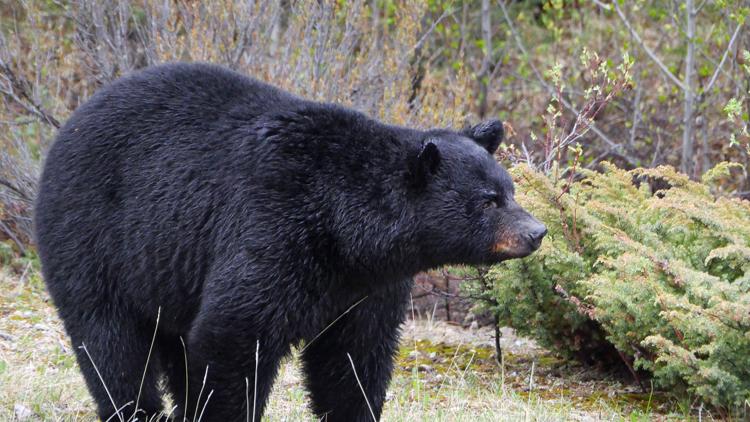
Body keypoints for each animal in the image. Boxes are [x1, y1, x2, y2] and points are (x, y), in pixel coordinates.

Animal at [33, 63, 548, 422]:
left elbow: (354, 358)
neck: (346, 229)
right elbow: (234, 336)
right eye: (488, 201)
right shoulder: (274, 229)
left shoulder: (367, 286)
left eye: (509, 189)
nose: (536, 232)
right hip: (93, 237)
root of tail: (68, 127)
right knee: (110, 342)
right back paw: (135, 409)